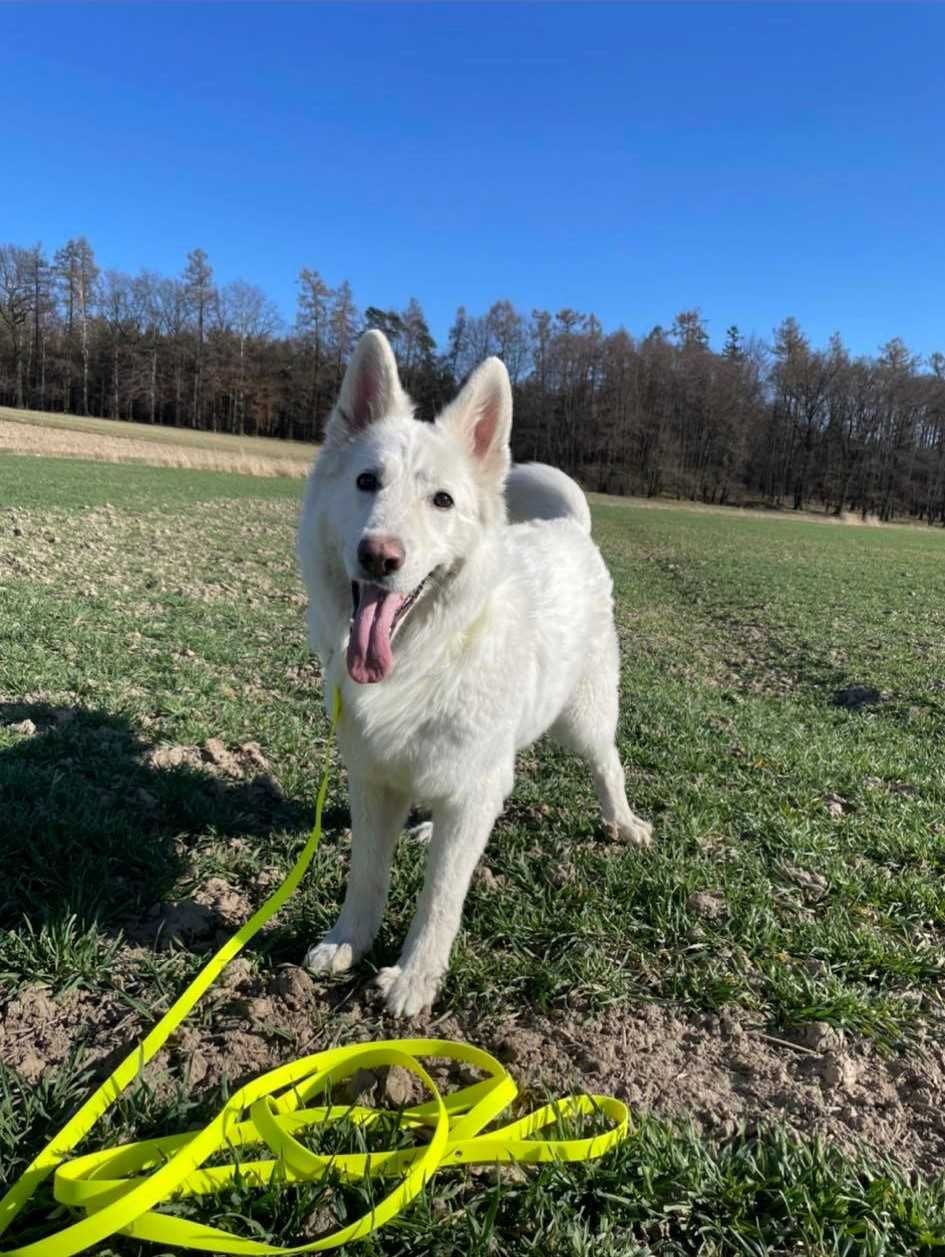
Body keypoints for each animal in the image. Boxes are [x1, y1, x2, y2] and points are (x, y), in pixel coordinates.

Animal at [295, 329, 648, 1015]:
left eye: (442, 501)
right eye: (367, 481)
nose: (379, 556)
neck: (425, 656)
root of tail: (569, 527)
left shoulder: (473, 788)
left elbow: (440, 899)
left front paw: (412, 979)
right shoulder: (373, 781)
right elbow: (365, 877)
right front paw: (349, 942)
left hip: (584, 722)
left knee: (608, 767)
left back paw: (623, 823)